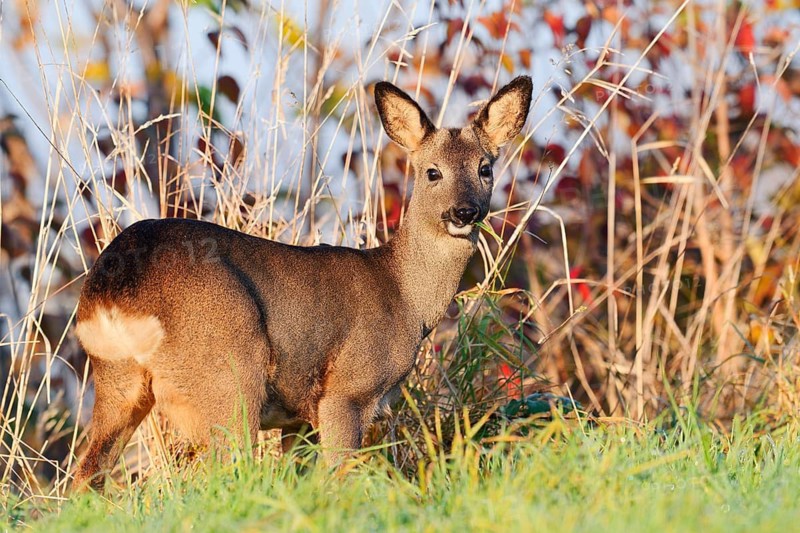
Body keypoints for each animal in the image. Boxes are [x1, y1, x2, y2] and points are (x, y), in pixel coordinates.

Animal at [72, 75, 532, 490]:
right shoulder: (346, 390)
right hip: (230, 365)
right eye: (432, 172)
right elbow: (340, 475)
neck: (405, 297)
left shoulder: (298, 416)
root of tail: (110, 292)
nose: (464, 211)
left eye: (485, 168)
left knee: (87, 473)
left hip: (117, 379)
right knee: (226, 470)